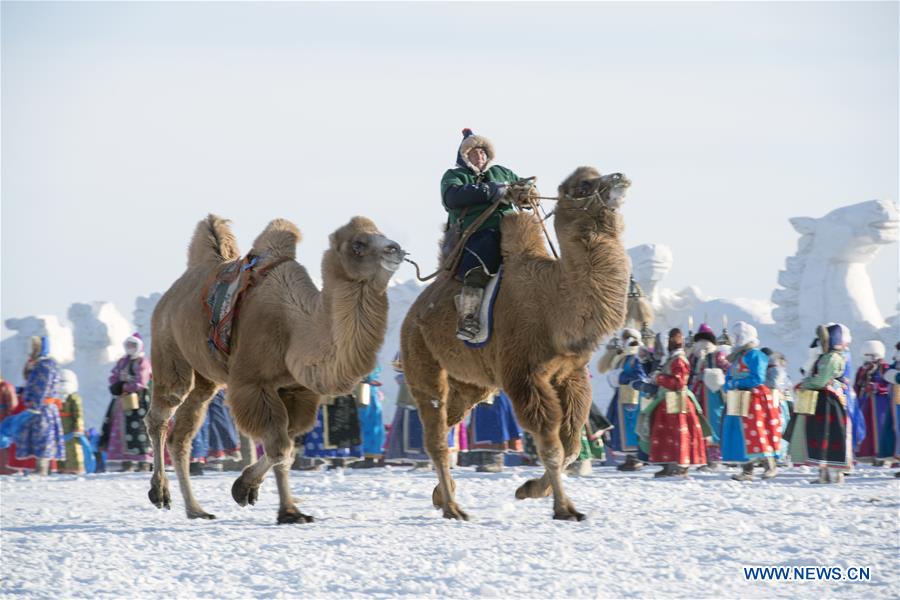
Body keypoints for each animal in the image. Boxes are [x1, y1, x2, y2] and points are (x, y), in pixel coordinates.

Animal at [145, 213, 404, 524]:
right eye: (358, 245)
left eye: (380, 232)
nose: (395, 248)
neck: (296, 331)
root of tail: (173, 292)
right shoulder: (253, 383)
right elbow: (280, 447)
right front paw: (243, 488)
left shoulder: (295, 389)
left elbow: (287, 448)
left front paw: (288, 510)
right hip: (169, 350)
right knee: (161, 413)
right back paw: (160, 493)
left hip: (207, 379)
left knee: (181, 434)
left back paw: (196, 509)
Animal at [398, 165, 628, 520]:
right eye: (582, 186)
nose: (619, 177)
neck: (554, 305)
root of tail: (413, 313)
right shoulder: (524, 374)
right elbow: (551, 446)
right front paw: (564, 508)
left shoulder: (572, 375)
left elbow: (571, 447)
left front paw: (529, 489)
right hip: (422, 360)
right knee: (435, 432)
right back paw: (453, 508)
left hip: (473, 384)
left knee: (447, 423)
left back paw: (441, 495)